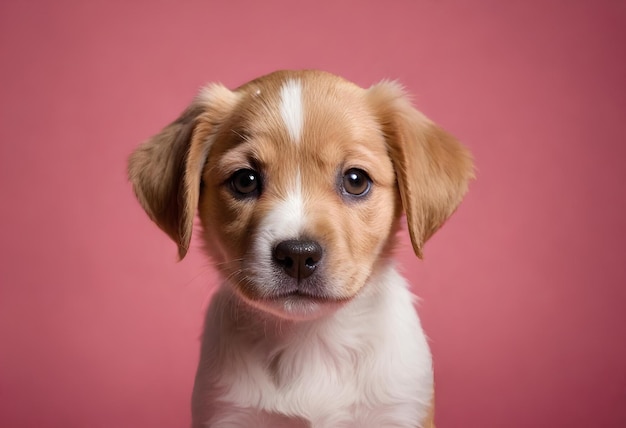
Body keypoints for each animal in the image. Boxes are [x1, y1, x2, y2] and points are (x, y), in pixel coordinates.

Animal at [127, 68, 470, 426]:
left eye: (356, 180)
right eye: (245, 180)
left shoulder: (400, 412)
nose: (298, 255)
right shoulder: (226, 413)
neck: (310, 341)